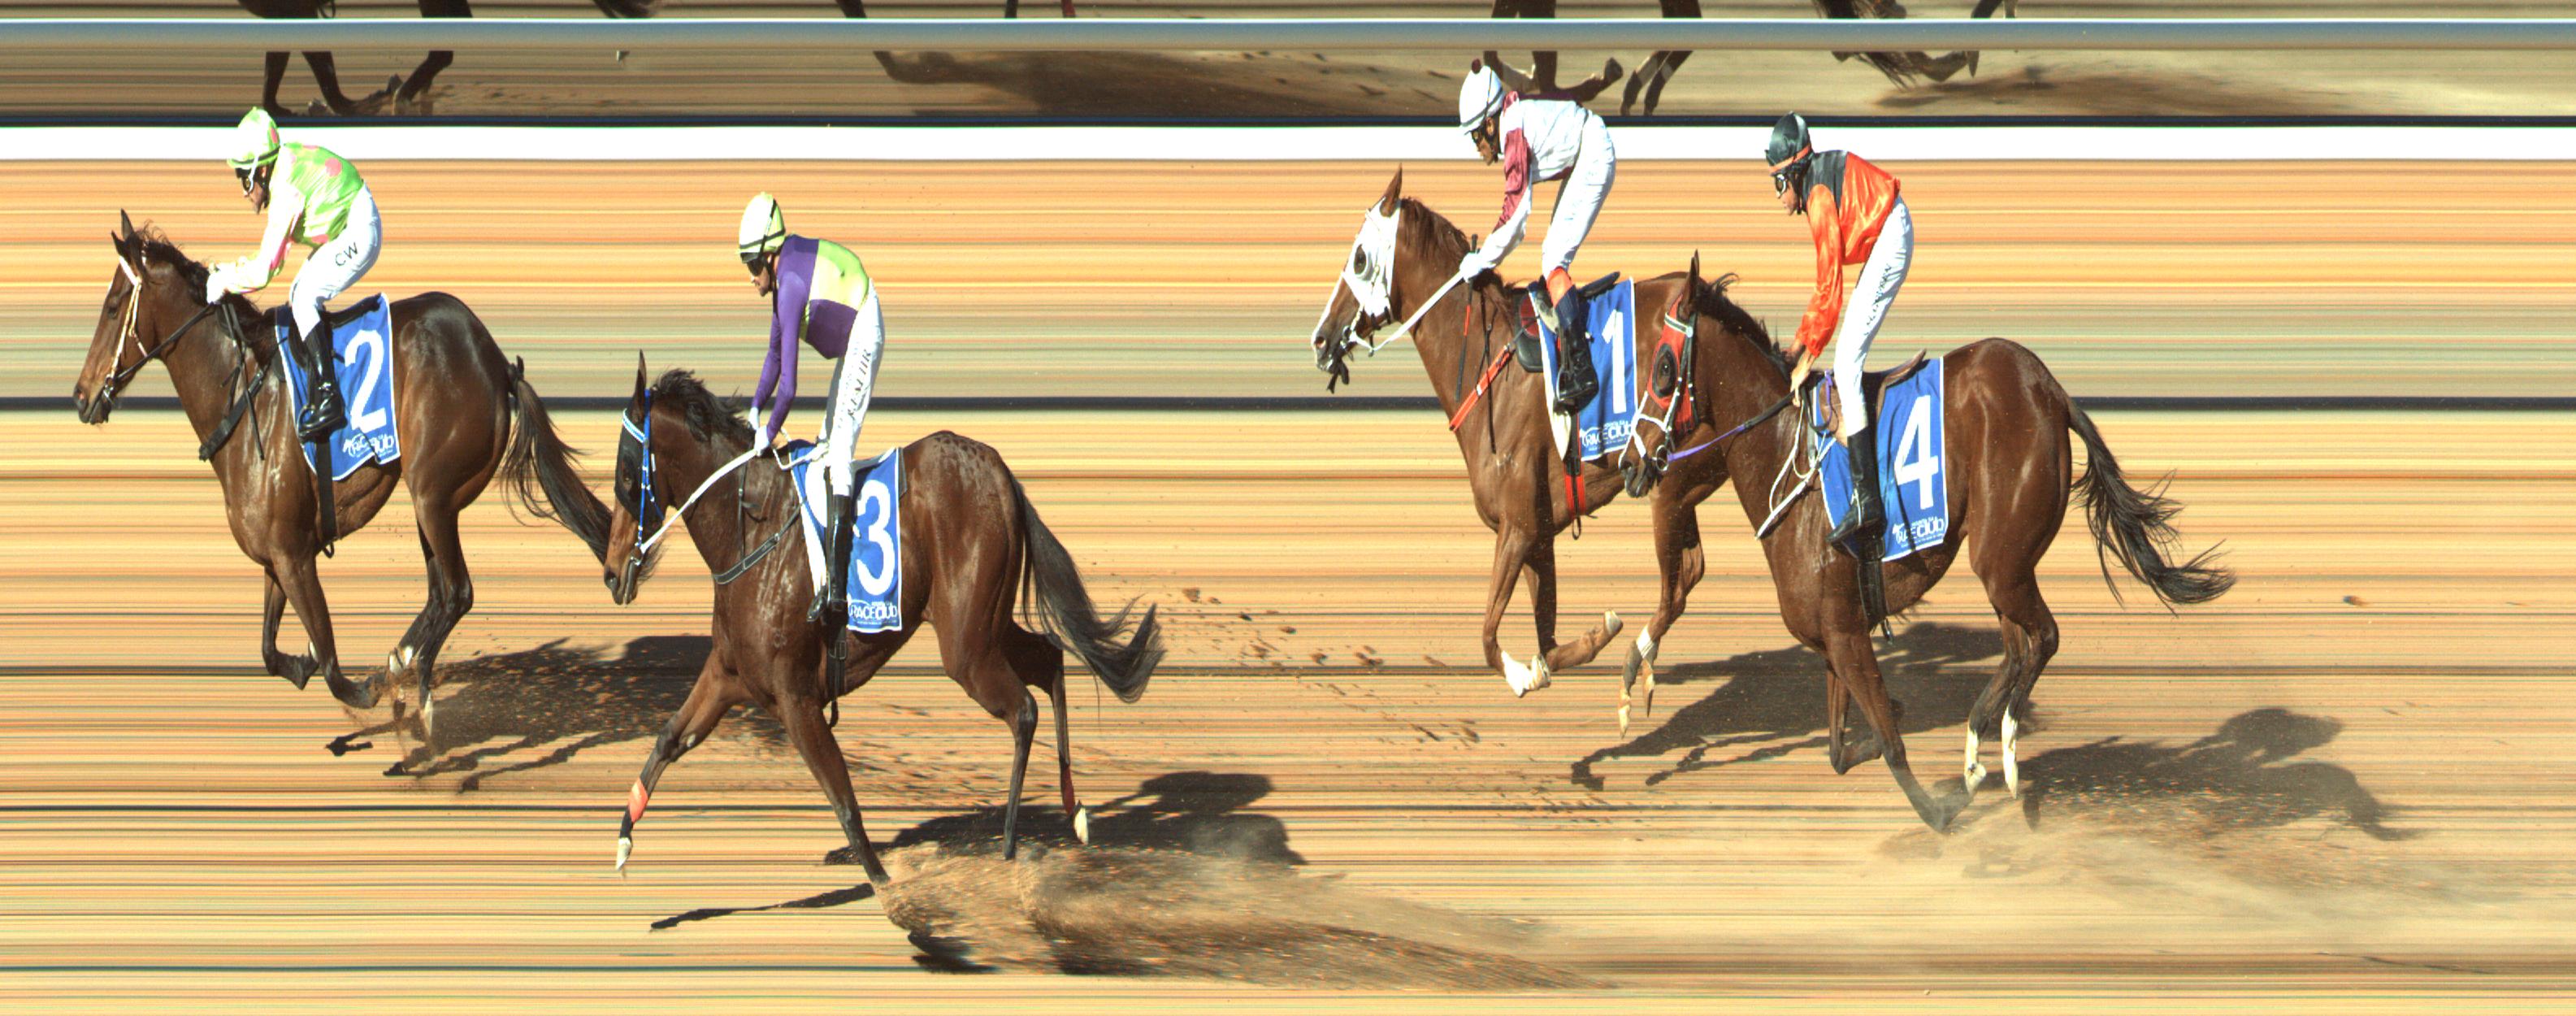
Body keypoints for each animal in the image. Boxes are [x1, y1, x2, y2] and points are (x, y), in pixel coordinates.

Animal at [72, 213, 613, 732]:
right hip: (431, 503)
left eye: (113, 307)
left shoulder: (295, 557)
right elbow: (269, 652)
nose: (80, 396)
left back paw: (410, 680)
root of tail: (498, 361)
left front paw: (365, 689)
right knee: (440, 592)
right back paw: (403, 664)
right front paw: (306, 662)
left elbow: (332, 665)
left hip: (433, 494)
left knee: (458, 592)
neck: (245, 404)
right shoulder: (275, 558)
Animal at [601, 363, 1161, 883]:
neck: (751, 536)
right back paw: (1076, 812)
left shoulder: (795, 697)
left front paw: (886, 884)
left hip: (967, 646)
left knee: (1023, 710)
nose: (611, 572)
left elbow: (842, 796)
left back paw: (1008, 845)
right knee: (1049, 657)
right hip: (986, 627)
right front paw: (623, 842)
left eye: (627, 475)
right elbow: (669, 738)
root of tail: (999, 471)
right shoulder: (730, 676)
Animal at [1615, 262, 2233, 831]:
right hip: (2007, 568)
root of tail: (2050, 388)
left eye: (1664, 369)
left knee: (2045, 639)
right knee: (2019, 647)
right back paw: (1980, 748)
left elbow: (1892, 745)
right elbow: (1840, 748)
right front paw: (1898, 720)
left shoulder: (1846, 634)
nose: (1630, 464)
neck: (1787, 464)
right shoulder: (1833, 640)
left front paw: (1940, 807)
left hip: (2000, 560)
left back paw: (2000, 749)